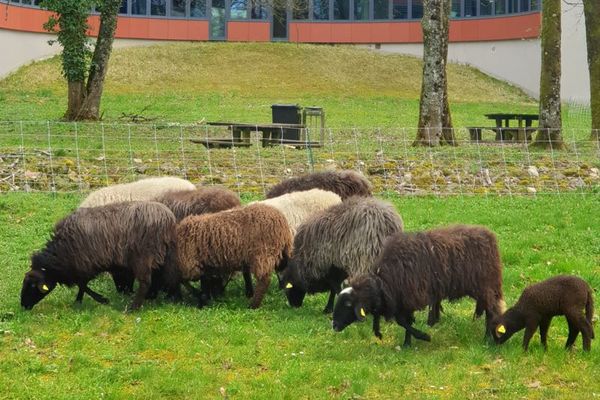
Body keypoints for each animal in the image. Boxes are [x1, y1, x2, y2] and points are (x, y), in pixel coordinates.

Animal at [18, 202, 177, 310]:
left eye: (32, 286)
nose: (24, 306)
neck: (61, 253)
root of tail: (168, 218)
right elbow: (82, 285)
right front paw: (80, 301)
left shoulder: (86, 264)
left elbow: (82, 284)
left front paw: (100, 299)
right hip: (159, 255)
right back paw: (151, 297)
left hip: (143, 256)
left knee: (145, 282)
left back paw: (133, 308)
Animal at [330, 225, 504, 346]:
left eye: (348, 304)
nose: (334, 325)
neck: (384, 282)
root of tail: (489, 236)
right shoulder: (403, 299)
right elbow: (404, 322)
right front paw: (408, 343)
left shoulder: (409, 296)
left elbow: (403, 321)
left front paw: (422, 337)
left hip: (486, 286)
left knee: (491, 310)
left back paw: (487, 338)